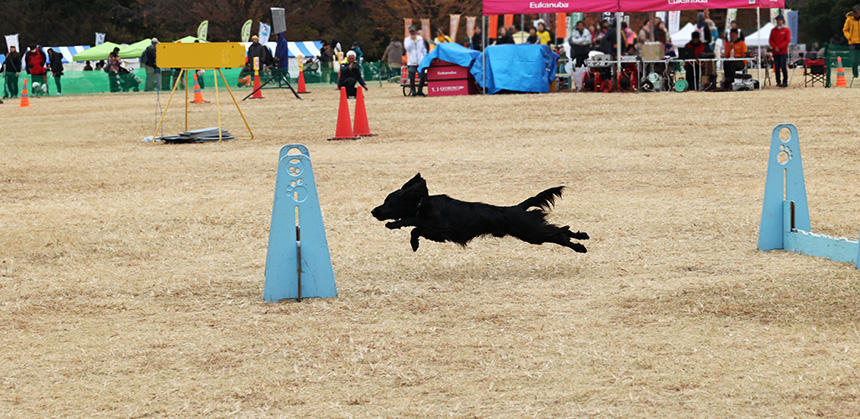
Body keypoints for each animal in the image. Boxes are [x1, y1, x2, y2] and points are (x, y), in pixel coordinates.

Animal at [372, 174, 592, 253]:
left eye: (388, 202)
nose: (373, 211)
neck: (422, 204)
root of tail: (517, 207)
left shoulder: (440, 227)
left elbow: (411, 220)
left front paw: (393, 225)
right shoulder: (435, 233)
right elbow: (415, 229)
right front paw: (414, 244)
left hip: (532, 232)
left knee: (558, 233)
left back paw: (580, 247)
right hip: (532, 232)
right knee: (562, 229)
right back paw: (583, 236)